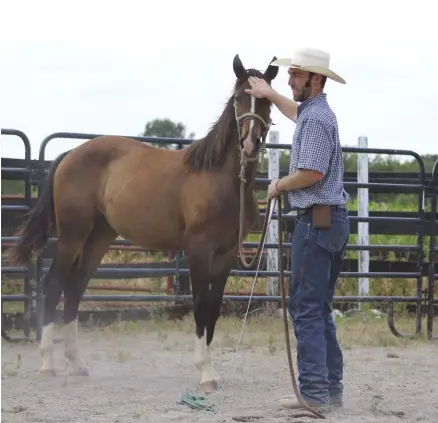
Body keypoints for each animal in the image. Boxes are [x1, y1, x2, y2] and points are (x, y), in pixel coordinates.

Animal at [6, 53, 278, 394]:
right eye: (240, 98)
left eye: (266, 100)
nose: (250, 144)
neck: (221, 178)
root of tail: (70, 154)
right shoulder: (198, 250)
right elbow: (200, 305)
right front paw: (204, 372)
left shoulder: (227, 255)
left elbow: (213, 307)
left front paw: (212, 371)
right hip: (72, 234)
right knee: (55, 284)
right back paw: (47, 363)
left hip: (99, 237)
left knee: (75, 287)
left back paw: (77, 363)